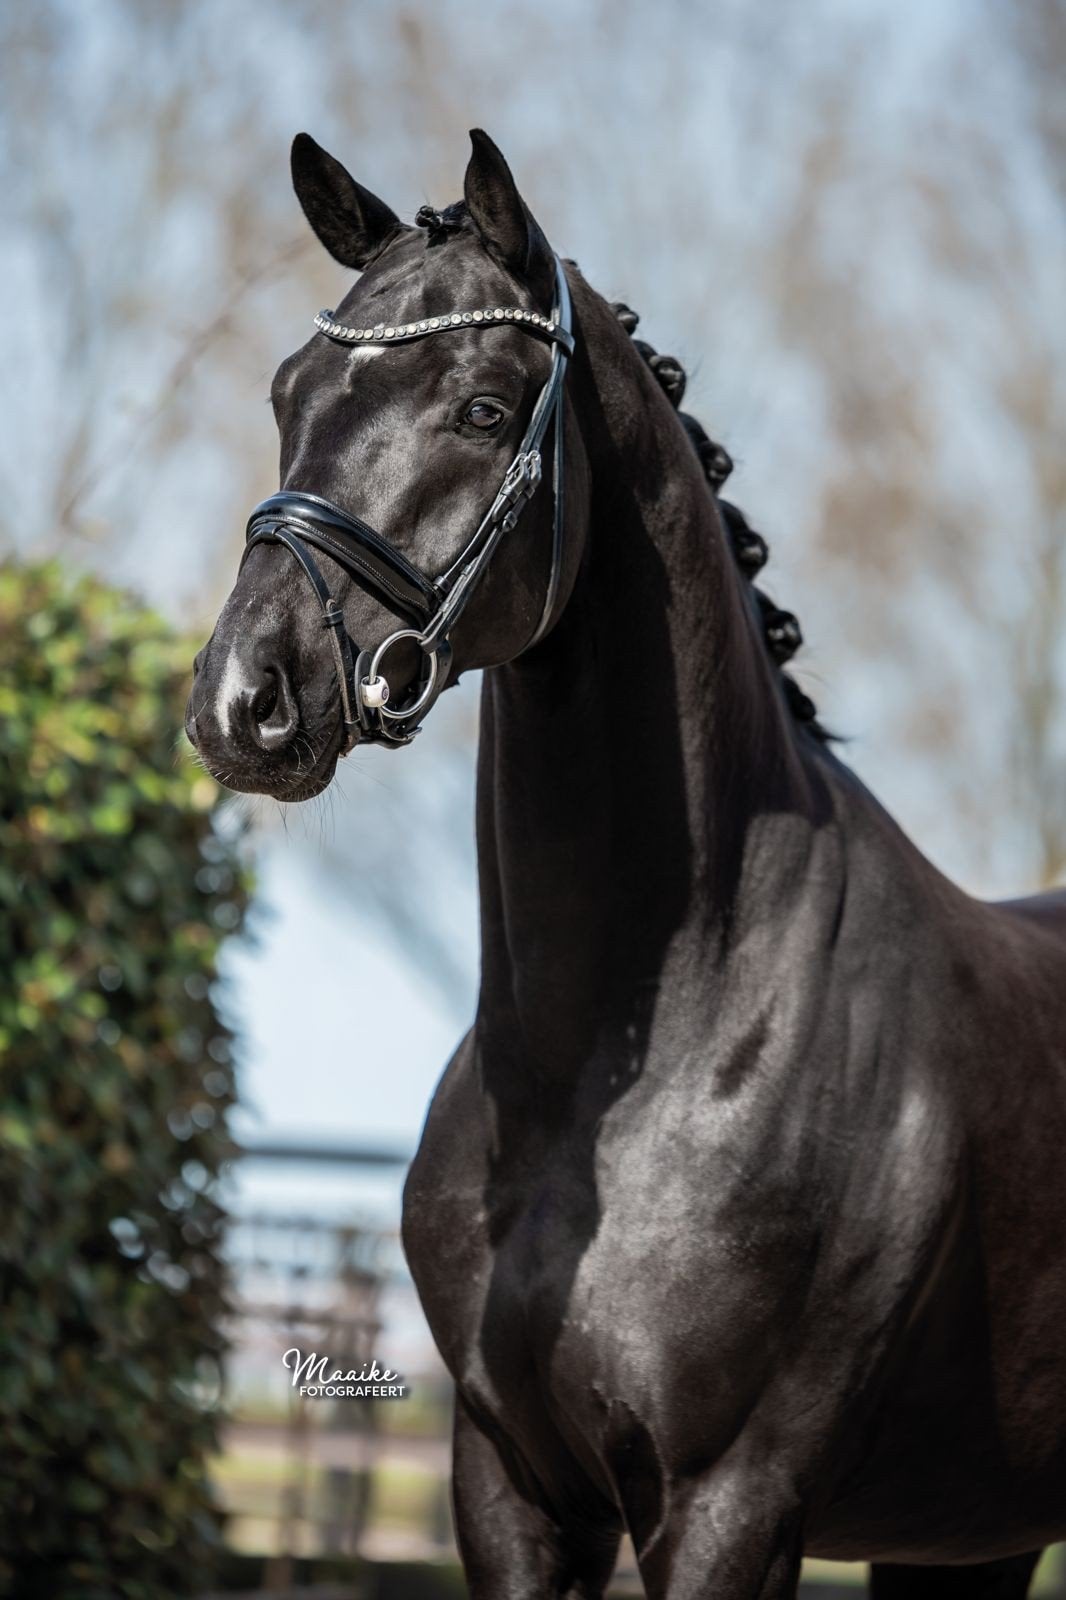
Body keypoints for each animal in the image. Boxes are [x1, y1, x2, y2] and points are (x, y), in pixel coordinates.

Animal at [186, 130, 1066, 1599]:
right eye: (285, 392)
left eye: (486, 408)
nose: (241, 701)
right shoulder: (511, 1489)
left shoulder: (728, 1507)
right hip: (966, 1536)